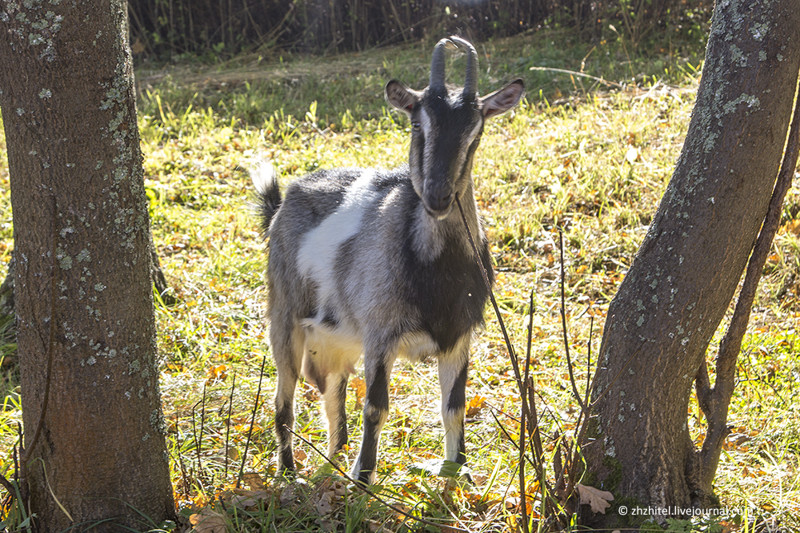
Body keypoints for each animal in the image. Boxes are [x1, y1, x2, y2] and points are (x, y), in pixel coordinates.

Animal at [256, 36, 524, 486]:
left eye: (476, 130)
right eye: (418, 124)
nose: (437, 196)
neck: (436, 272)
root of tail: (284, 200)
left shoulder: (459, 337)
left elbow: (454, 407)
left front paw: (459, 471)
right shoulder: (381, 334)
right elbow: (376, 407)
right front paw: (364, 478)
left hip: (337, 338)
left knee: (333, 395)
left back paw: (335, 457)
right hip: (285, 317)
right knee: (284, 399)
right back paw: (290, 472)